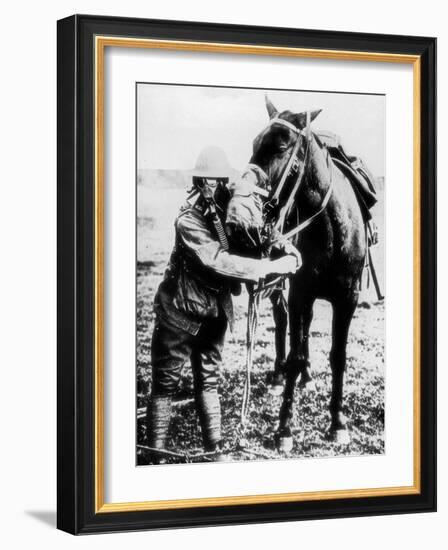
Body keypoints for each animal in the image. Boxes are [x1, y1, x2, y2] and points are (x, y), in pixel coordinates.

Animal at [224, 97, 368, 452]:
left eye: (280, 146)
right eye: (254, 144)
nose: (240, 212)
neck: (332, 230)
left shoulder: (347, 298)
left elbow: (338, 356)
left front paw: (337, 422)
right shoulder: (300, 293)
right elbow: (294, 350)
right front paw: (284, 428)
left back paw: (308, 377)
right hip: (282, 288)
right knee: (283, 325)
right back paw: (279, 377)